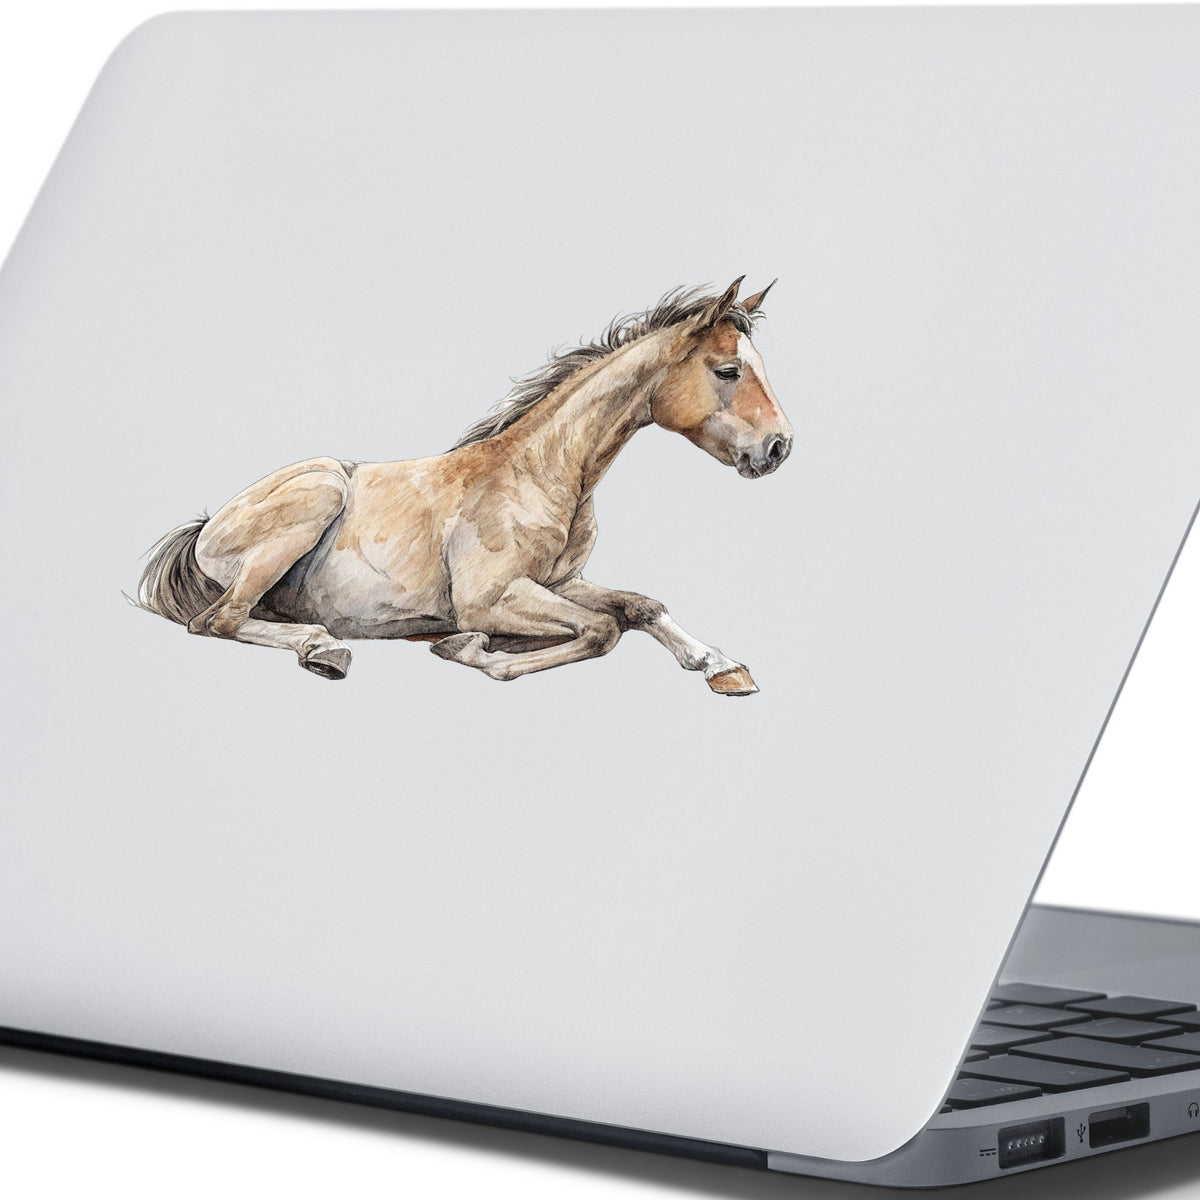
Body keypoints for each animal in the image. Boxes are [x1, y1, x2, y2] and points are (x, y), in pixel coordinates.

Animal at [134, 277, 793, 696]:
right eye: (728, 370)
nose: (779, 448)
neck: (542, 474)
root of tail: (205, 529)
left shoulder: (561, 583)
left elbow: (639, 606)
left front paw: (721, 665)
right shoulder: (493, 596)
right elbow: (601, 630)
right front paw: (472, 649)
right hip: (317, 495)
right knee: (217, 620)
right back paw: (327, 650)